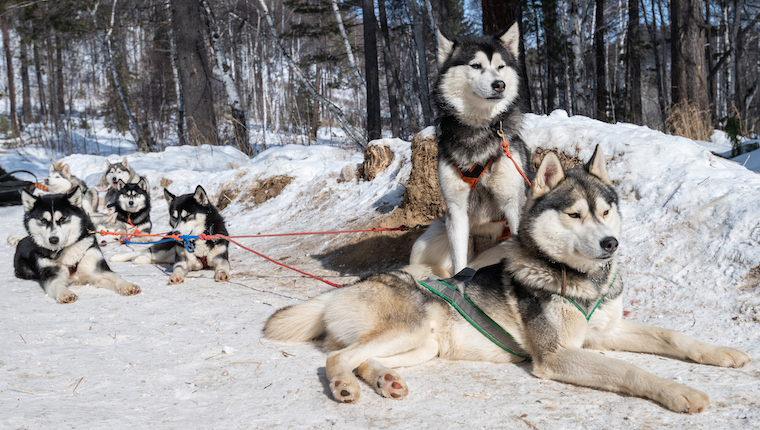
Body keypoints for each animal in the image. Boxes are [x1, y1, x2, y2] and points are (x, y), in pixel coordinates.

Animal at [14, 187, 142, 302]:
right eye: (43, 220)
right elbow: (57, 285)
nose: (53, 239)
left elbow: (115, 277)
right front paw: (65, 293)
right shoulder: (51, 274)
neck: (66, 252)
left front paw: (127, 285)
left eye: (62, 218)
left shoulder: (96, 267)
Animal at [264, 147, 752, 414]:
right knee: (337, 359)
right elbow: (629, 369)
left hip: (422, 345)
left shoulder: (607, 331)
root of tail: (359, 284)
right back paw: (345, 385)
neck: (578, 281)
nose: (611, 243)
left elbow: (672, 337)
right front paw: (679, 391)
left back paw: (385, 380)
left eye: (605, 210)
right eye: (575, 215)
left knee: (361, 358)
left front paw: (722, 353)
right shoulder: (558, 355)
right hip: (409, 328)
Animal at [412, 24, 532, 286]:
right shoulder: (456, 209)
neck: (477, 131)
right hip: (428, 239)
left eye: (501, 66)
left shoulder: (513, 203)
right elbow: (459, 262)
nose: (499, 84)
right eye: (476, 65)